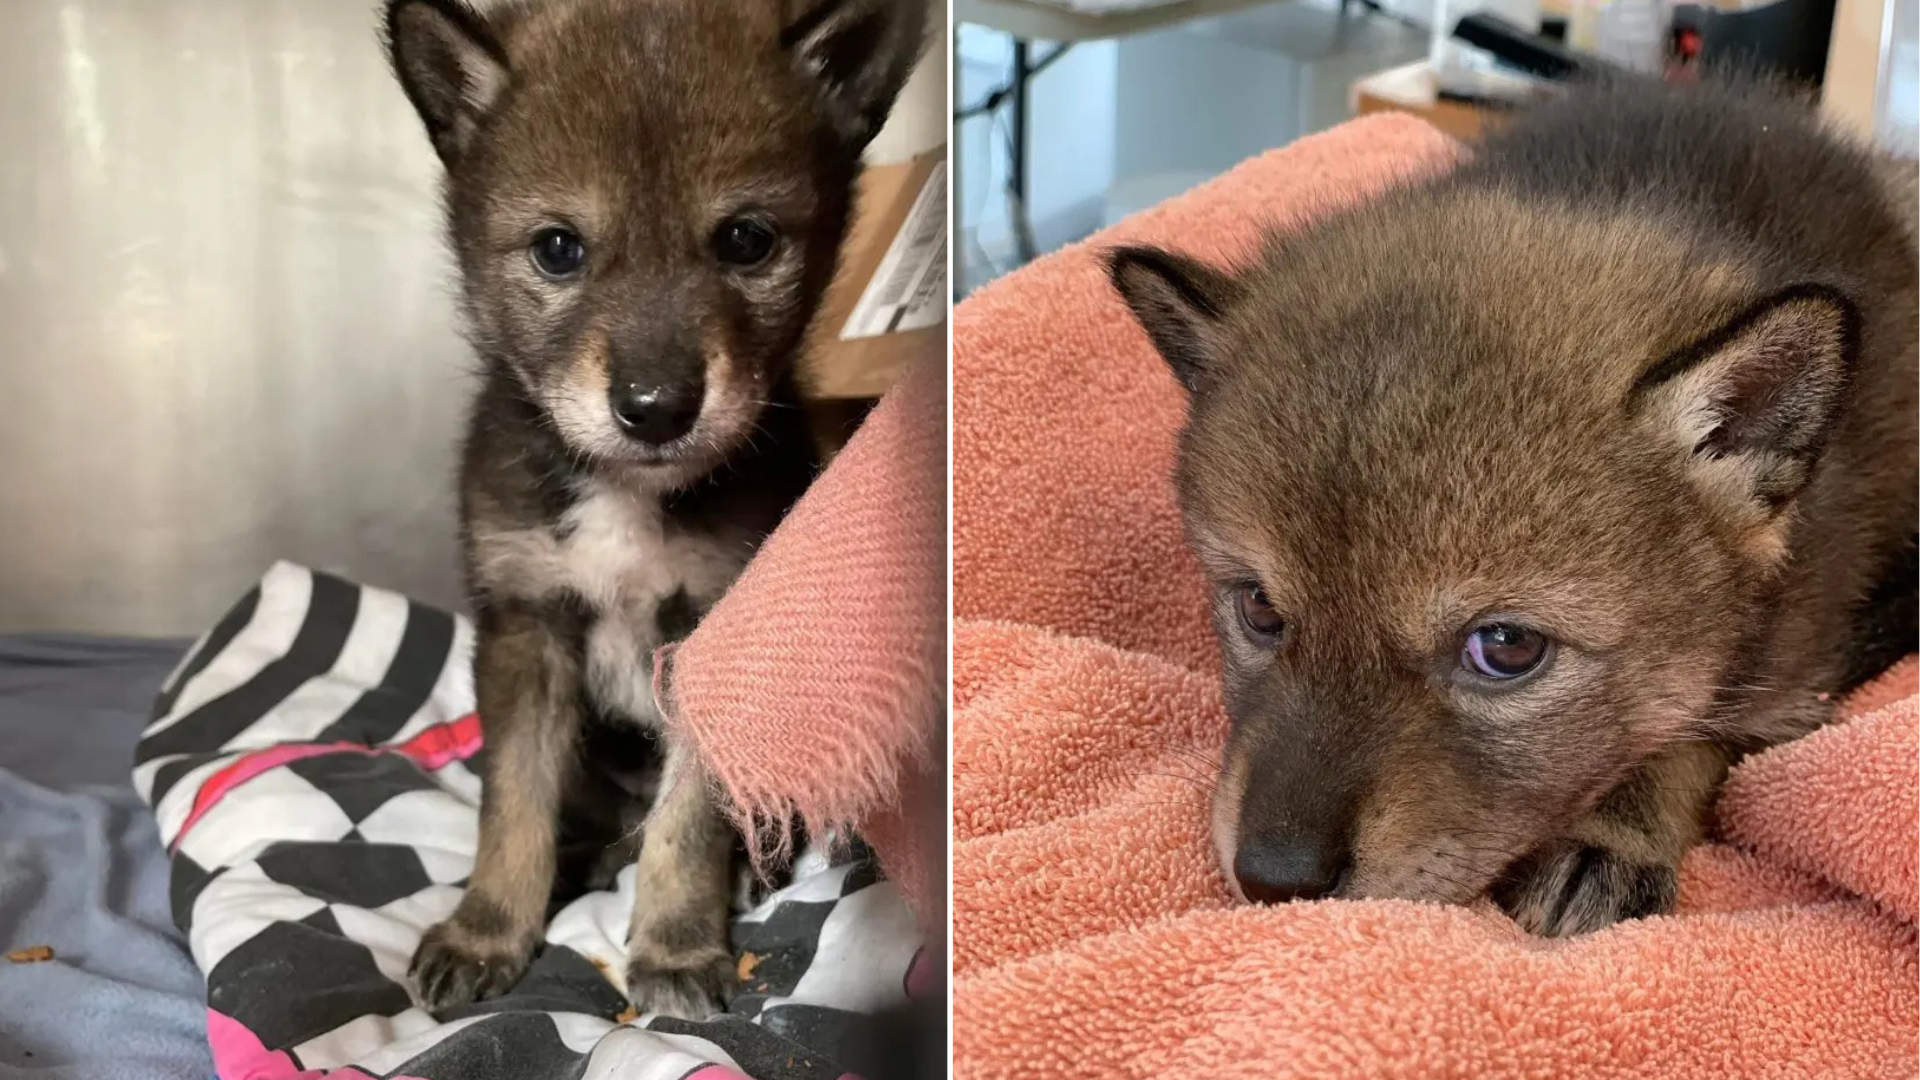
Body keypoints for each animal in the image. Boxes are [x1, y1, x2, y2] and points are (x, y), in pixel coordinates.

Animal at [382, 0, 924, 1015]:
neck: (626, 493)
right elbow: (512, 803)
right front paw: (487, 928)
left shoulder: (715, 636)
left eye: (746, 240)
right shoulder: (525, 624)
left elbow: (691, 817)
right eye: (558, 248)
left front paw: (675, 945)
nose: (657, 407)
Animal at [1109, 77, 1918, 936]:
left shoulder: (1793, 677)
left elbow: (1697, 735)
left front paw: (1611, 835)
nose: (1276, 876)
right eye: (1259, 607)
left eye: (1505, 647)